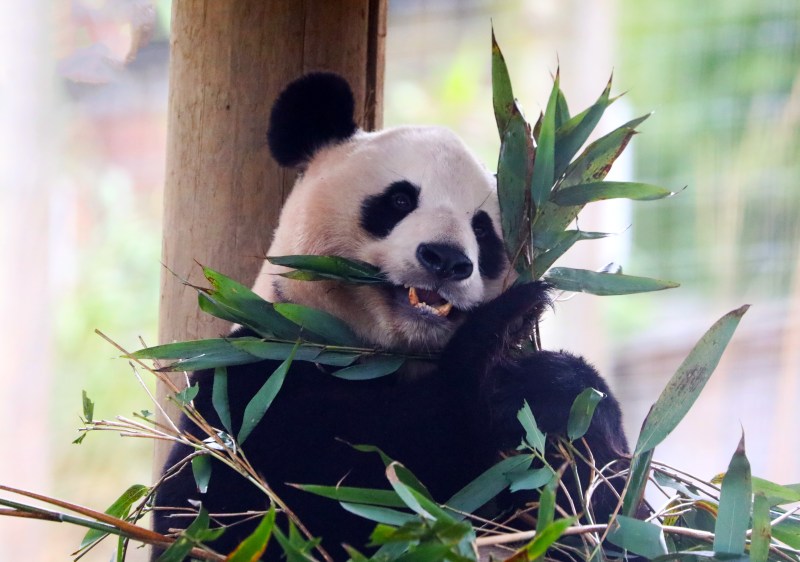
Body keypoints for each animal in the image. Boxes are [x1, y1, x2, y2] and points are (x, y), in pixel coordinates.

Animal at [152, 73, 630, 559]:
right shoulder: (249, 383)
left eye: (481, 229)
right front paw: (501, 334)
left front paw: (561, 393)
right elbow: (259, 501)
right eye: (400, 200)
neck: (381, 356)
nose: (445, 259)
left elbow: (601, 514)